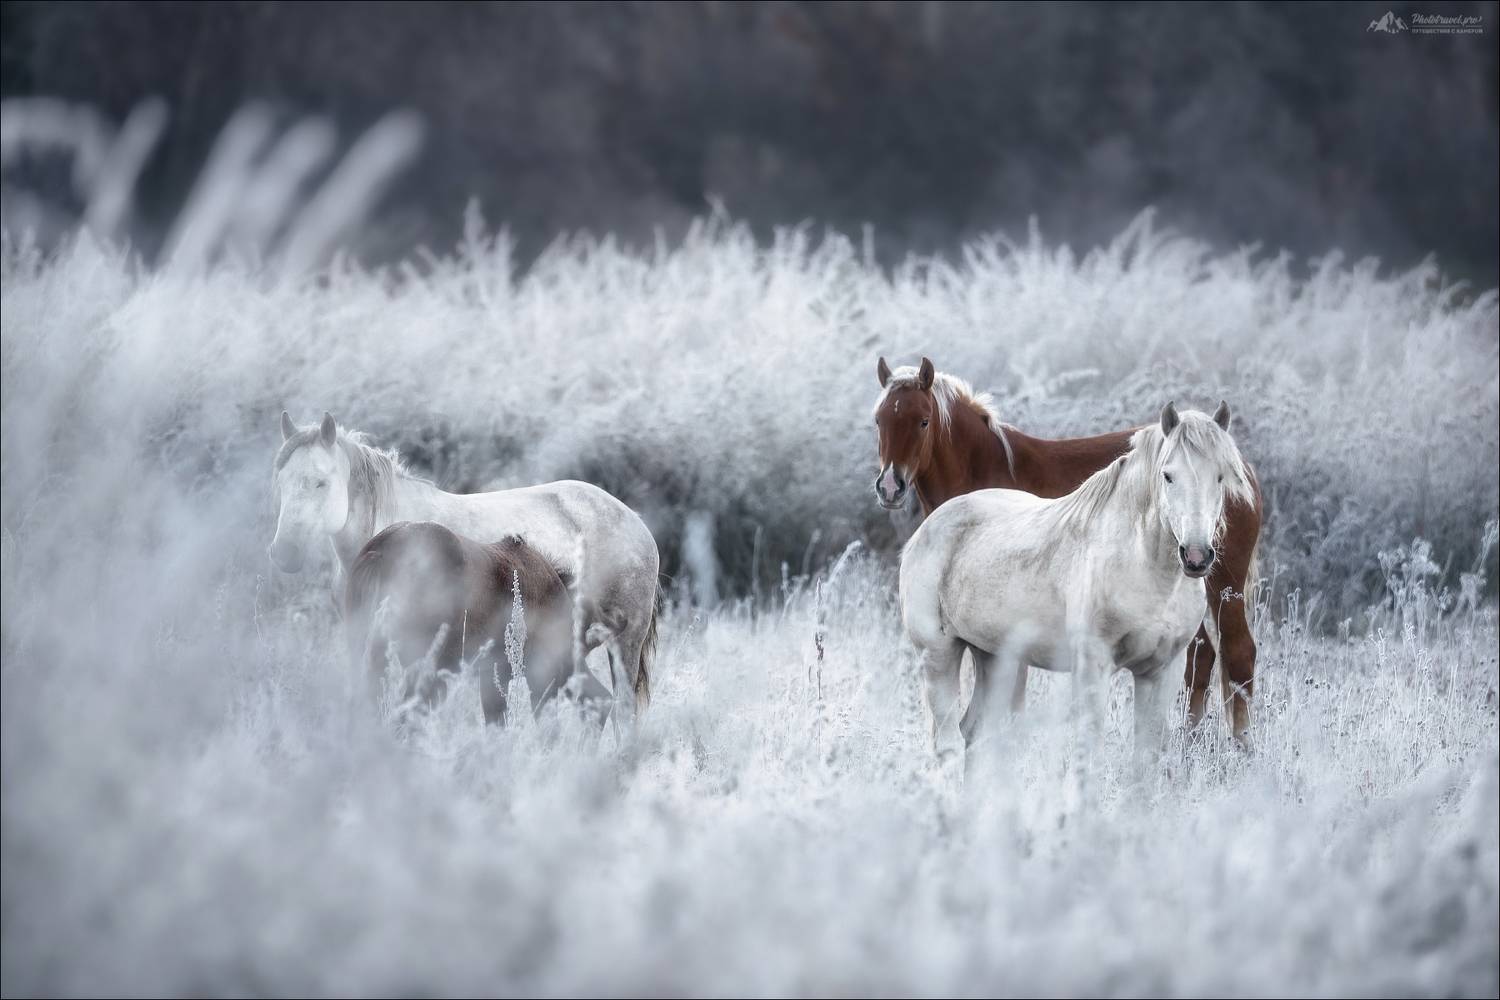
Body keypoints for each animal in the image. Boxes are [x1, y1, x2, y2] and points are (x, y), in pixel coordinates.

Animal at [873, 357, 1263, 742]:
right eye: (879, 420)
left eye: (923, 421)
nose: (890, 487)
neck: (985, 466)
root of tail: (1247, 470)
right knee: (1204, 658)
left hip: (1223, 586)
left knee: (1236, 652)